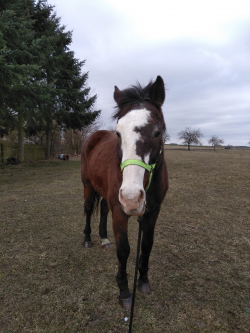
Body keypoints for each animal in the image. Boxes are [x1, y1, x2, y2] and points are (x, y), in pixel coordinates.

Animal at [81, 75, 169, 308]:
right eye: (118, 133)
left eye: (158, 132)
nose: (131, 198)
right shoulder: (120, 212)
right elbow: (124, 250)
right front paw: (124, 291)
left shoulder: (153, 211)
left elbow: (146, 244)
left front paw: (143, 280)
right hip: (88, 185)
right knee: (87, 209)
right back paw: (88, 238)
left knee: (103, 209)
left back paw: (104, 238)